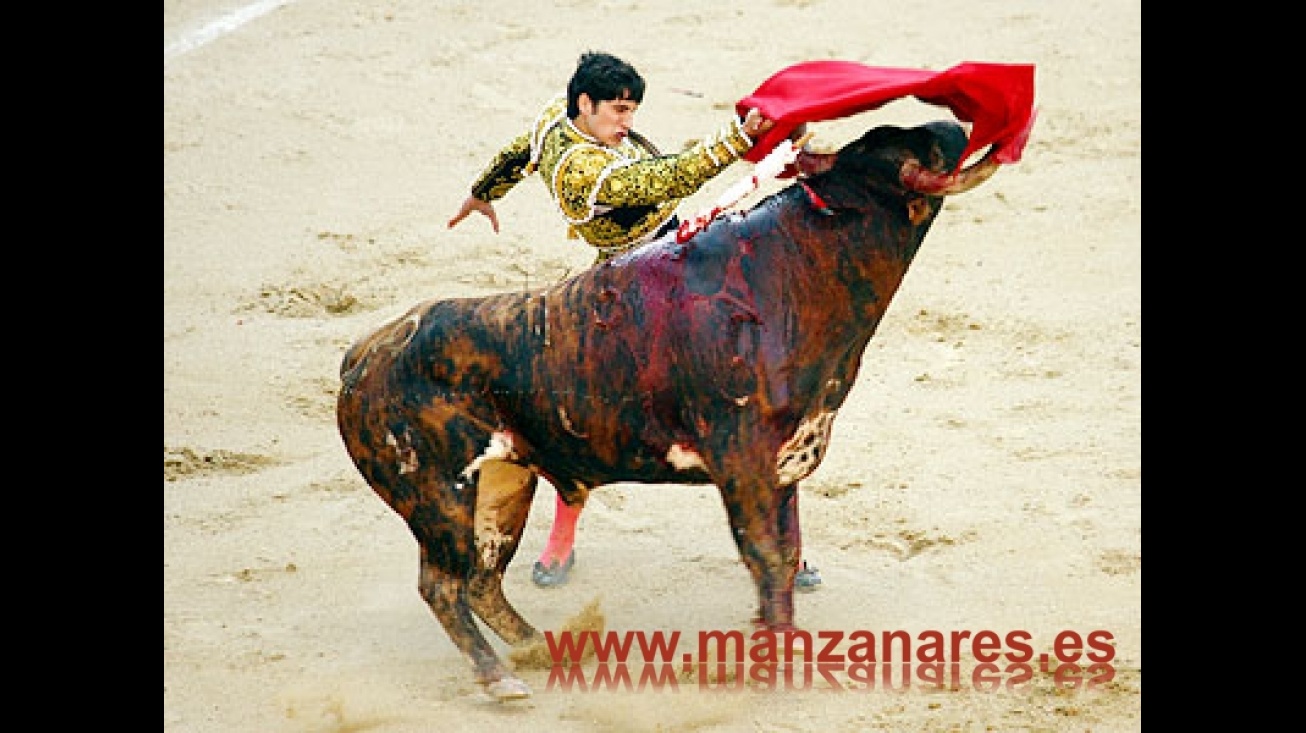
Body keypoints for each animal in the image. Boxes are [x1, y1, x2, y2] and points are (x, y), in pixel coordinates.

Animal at [334, 118, 997, 695]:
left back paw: (542, 649)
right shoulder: (743, 461)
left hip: (503, 482)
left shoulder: (785, 466)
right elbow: (767, 556)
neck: (797, 266)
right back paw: (502, 680)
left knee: (480, 580)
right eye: (907, 144)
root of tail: (364, 354)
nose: (953, 125)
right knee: (443, 587)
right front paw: (775, 665)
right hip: (438, 496)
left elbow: (784, 555)